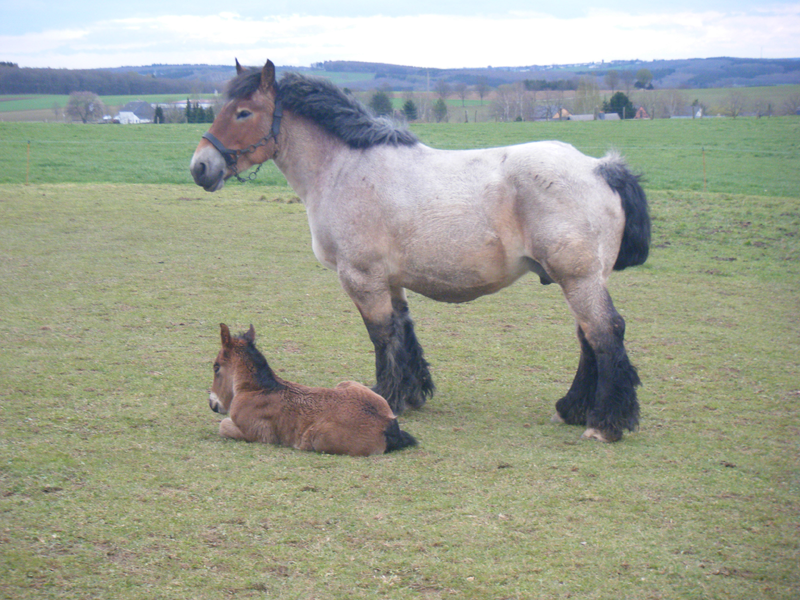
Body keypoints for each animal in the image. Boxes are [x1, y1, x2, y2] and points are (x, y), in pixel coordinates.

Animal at [206, 324, 418, 454]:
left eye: (216, 367)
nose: (212, 404)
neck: (258, 389)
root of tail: (389, 425)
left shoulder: (256, 434)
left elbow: (223, 425)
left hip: (315, 438)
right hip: (346, 383)